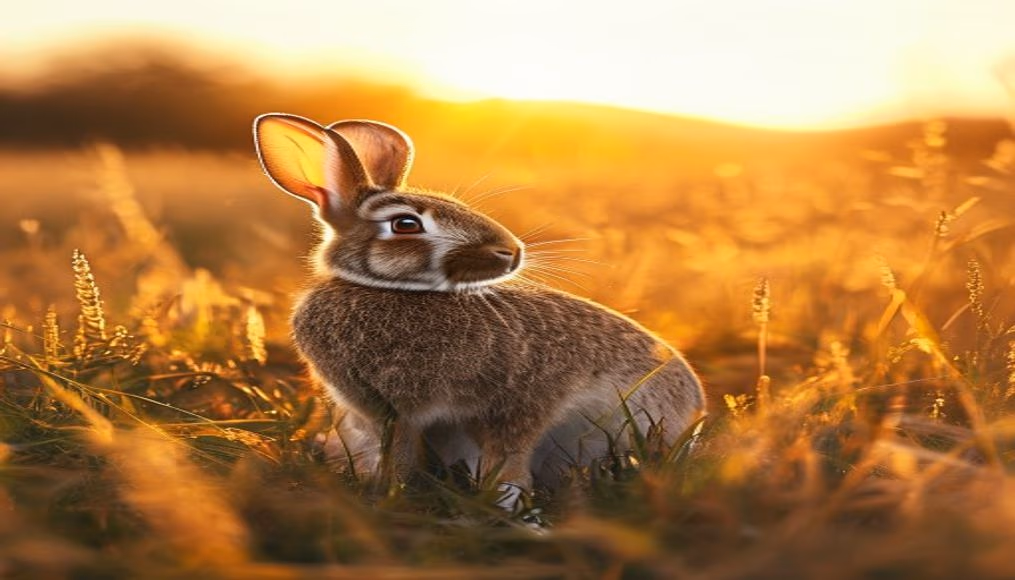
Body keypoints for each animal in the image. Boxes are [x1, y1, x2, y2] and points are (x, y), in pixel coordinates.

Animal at [253, 113, 706, 510]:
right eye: (405, 224)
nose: (512, 251)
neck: (391, 291)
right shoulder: (392, 417)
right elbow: (401, 456)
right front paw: (392, 492)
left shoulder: (521, 401)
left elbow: (508, 459)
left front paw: (507, 505)